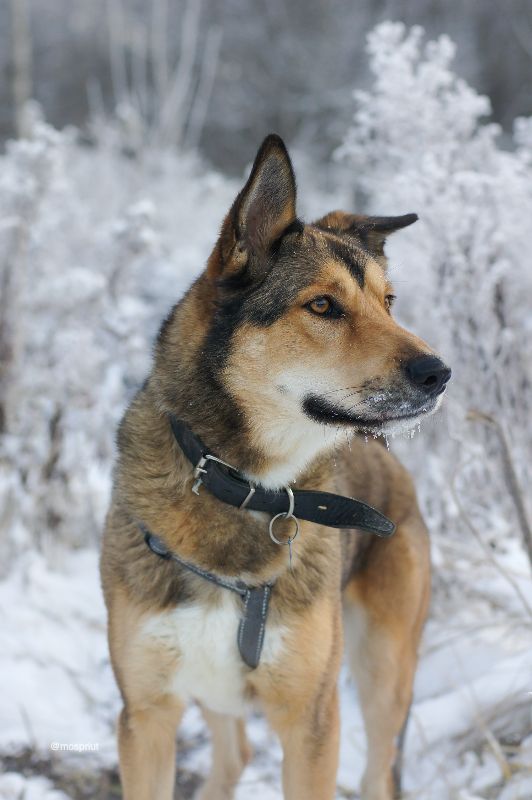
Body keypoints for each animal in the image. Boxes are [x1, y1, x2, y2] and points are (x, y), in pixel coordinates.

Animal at [100, 134, 448, 796]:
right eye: (324, 306)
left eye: (388, 303)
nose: (440, 374)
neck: (247, 486)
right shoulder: (146, 715)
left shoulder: (311, 721)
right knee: (234, 752)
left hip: (384, 677)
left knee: (377, 770)